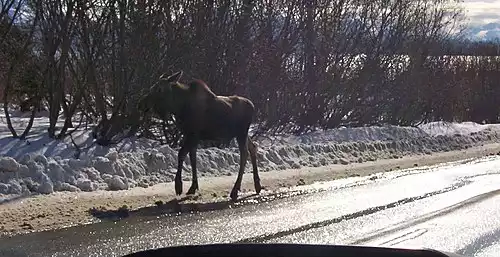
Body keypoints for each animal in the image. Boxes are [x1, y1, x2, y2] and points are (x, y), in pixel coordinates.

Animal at [137, 70, 262, 200]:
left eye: (159, 89)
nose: (141, 104)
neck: (179, 107)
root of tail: (253, 106)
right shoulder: (191, 136)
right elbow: (193, 158)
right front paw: (193, 187)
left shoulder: (193, 134)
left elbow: (181, 154)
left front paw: (179, 186)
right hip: (243, 134)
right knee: (253, 148)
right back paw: (257, 185)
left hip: (241, 133)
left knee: (244, 154)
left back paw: (235, 190)